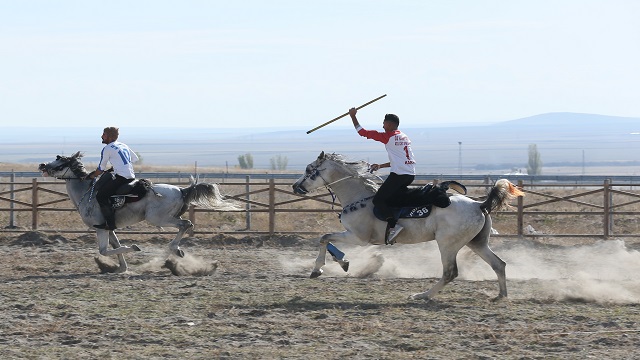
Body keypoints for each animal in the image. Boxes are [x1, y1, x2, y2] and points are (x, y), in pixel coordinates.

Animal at [38, 151, 238, 272]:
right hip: (167, 217)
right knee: (185, 224)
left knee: (186, 224)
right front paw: (122, 268)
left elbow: (104, 251)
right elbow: (116, 247)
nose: (42, 165)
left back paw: (174, 249)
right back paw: (175, 252)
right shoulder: (109, 228)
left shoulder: (100, 228)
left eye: (60, 161)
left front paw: (134, 247)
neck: (88, 192)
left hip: (158, 219)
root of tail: (182, 190)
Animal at [292, 152, 524, 300]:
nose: (295, 186)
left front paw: (321, 268)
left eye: (309, 170)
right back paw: (501, 295)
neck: (359, 197)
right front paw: (341, 262)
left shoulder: (358, 237)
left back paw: (423, 295)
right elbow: (326, 239)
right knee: (498, 264)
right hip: (477, 242)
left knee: (450, 272)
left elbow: (324, 238)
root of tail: (479, 204)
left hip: (448, 244)